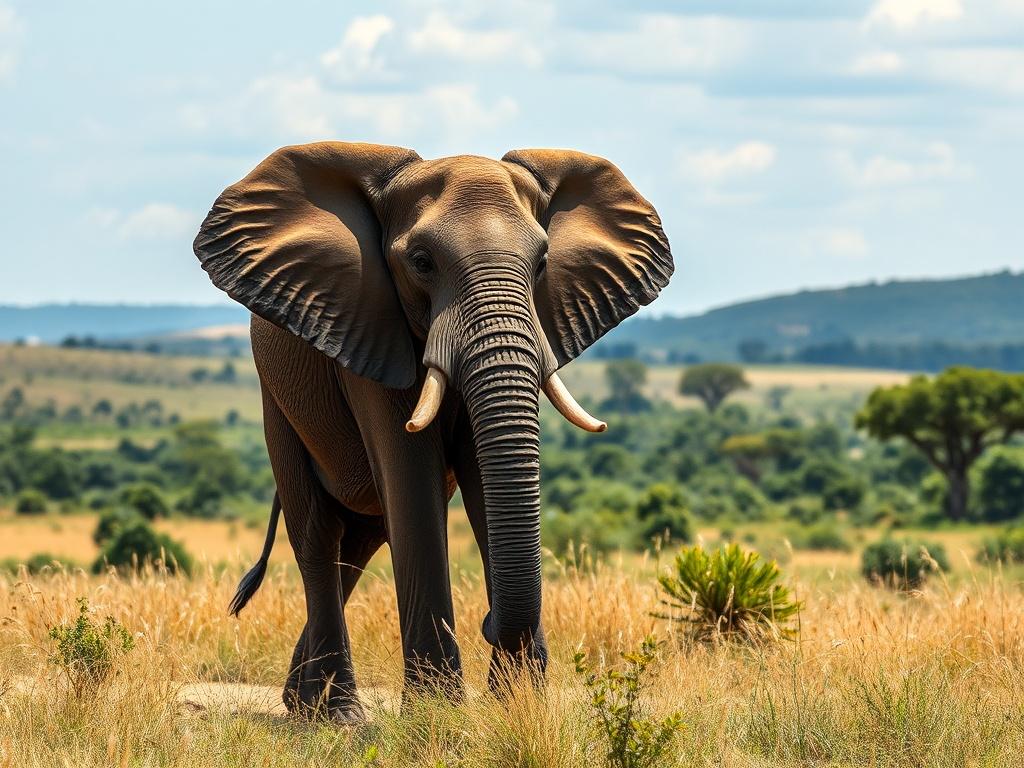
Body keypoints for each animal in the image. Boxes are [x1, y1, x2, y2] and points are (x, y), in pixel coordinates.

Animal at [193, 141, 673, 722]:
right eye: (421, 263)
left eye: (541, 263)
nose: (488, 622)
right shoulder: (373, 327)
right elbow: (412, 481)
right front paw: (437, 712)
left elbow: (485, 482)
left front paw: (516, 707)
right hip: (277, 401)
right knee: (318, 535)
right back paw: (335, 716)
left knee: (360, 542)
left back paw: (302, 703)